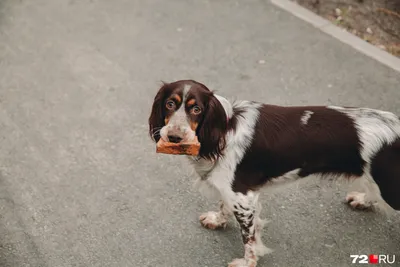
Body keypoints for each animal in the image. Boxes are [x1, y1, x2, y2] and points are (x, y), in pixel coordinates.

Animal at [149, 79, 400, 267]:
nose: (174, 137)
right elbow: (224, 206)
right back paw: (362, 200)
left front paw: (247, 262)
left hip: (390, 186)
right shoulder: (233, 191)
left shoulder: (243, 197)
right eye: (170, 104)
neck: (224, 131)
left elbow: (249, 238)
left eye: (196, 109)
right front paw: (217, 220)